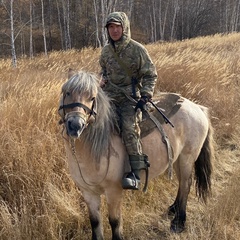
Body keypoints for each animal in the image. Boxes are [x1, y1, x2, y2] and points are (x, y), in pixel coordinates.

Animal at [57, 70, 214, 239]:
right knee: (181, 183)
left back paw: (178, 222)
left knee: (186, 184)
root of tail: (197, 107)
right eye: (67, 92)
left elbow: (115, 222)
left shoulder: (114, 192)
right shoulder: (88, 193)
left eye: (92, 98)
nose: (75, 125)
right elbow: (95, 222)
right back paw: (173, 209)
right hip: (177, 159)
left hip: (187, 157)